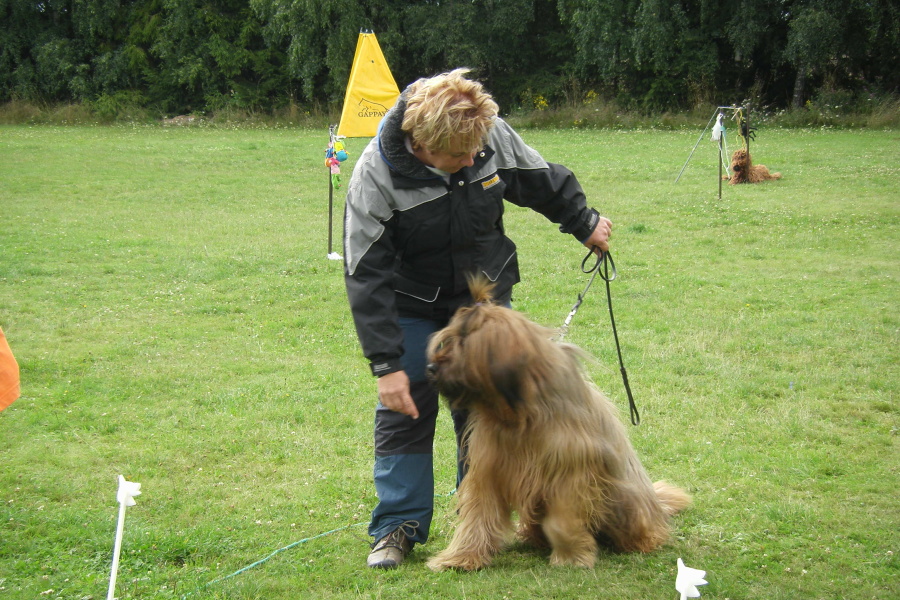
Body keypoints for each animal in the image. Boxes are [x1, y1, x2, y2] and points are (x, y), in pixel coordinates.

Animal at [426, 278, 692, 568]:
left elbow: (561, 522)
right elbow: (478, 514)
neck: (517, 415)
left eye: (462, 344)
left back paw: (643, 541)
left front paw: (571, 558)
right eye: (447, 340)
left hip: (625, 500)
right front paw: (460, 557)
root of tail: (656, 505)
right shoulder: (488, 468)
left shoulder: (571, 473)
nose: (430, 369)